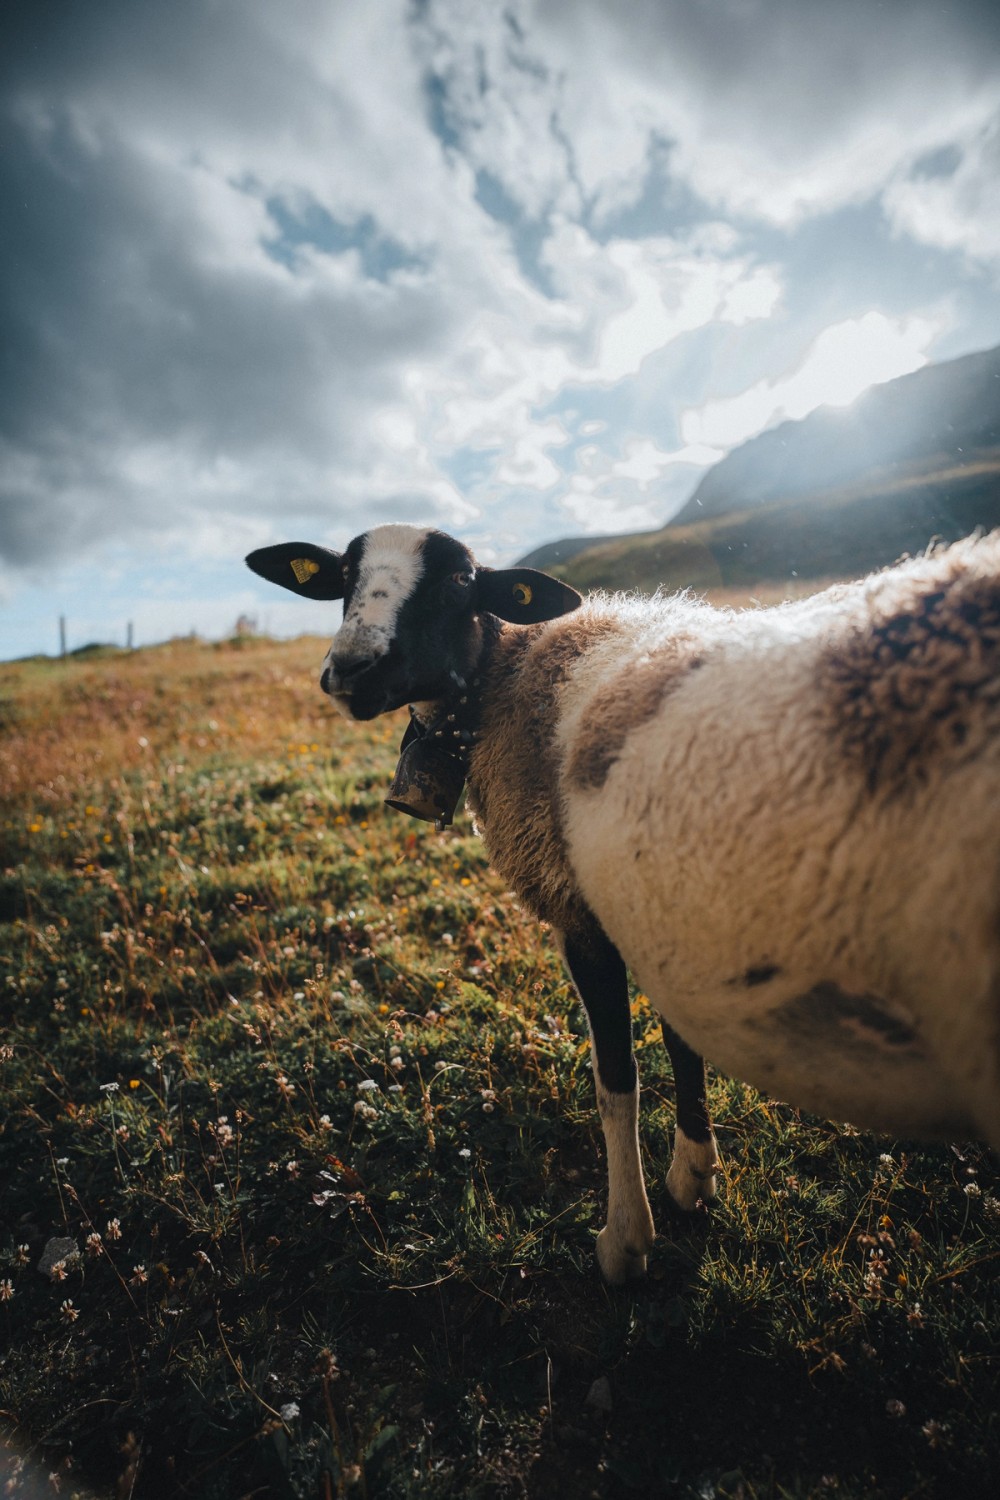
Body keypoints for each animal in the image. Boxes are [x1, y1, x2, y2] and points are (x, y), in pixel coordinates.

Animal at [246, 522, 1000, 1283]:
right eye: (345, 577)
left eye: (459, 581)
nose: (351, 669)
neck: (512, 677)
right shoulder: (661, 921)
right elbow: (681, 1045)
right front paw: (694, 1177)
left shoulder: (581, 914)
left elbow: (616, 1078)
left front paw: (626, 1240)